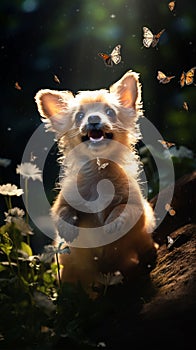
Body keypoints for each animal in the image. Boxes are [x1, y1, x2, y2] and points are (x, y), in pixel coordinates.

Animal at [35, 69, 157, 294]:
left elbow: (123, 209)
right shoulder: (63, 202)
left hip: (141, 242)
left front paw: (113, 223)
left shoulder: (137, 207)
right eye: (79, 116)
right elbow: (62, 212)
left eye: (109, 112)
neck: (99, 174)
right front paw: (68, 228)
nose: (92, 118)